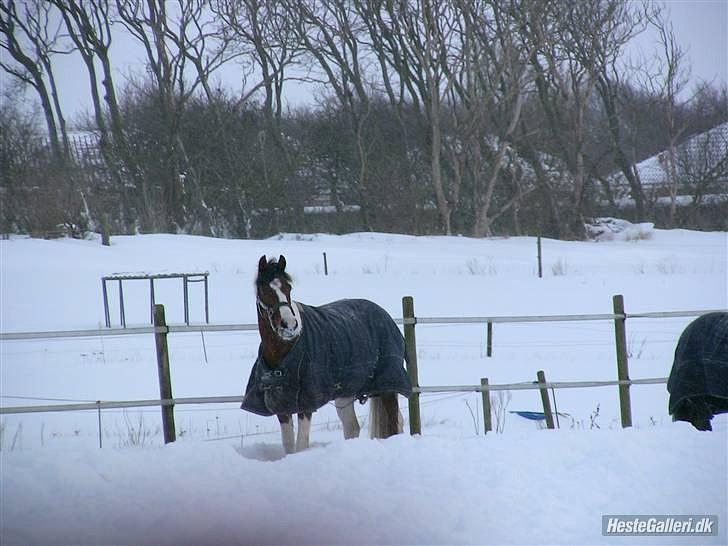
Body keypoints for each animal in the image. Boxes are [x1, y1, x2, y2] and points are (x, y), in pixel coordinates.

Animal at [241, 255, 412, 454]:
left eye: (288, 287)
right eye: (263, 290)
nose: (289, 325)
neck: (284, 350)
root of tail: (385, 315)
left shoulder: (306, 405)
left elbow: (301, 445)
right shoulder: (281, 407)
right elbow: (289, 446)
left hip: (387, 387)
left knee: (395, 423)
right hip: (346, 393)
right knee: (353, 427)